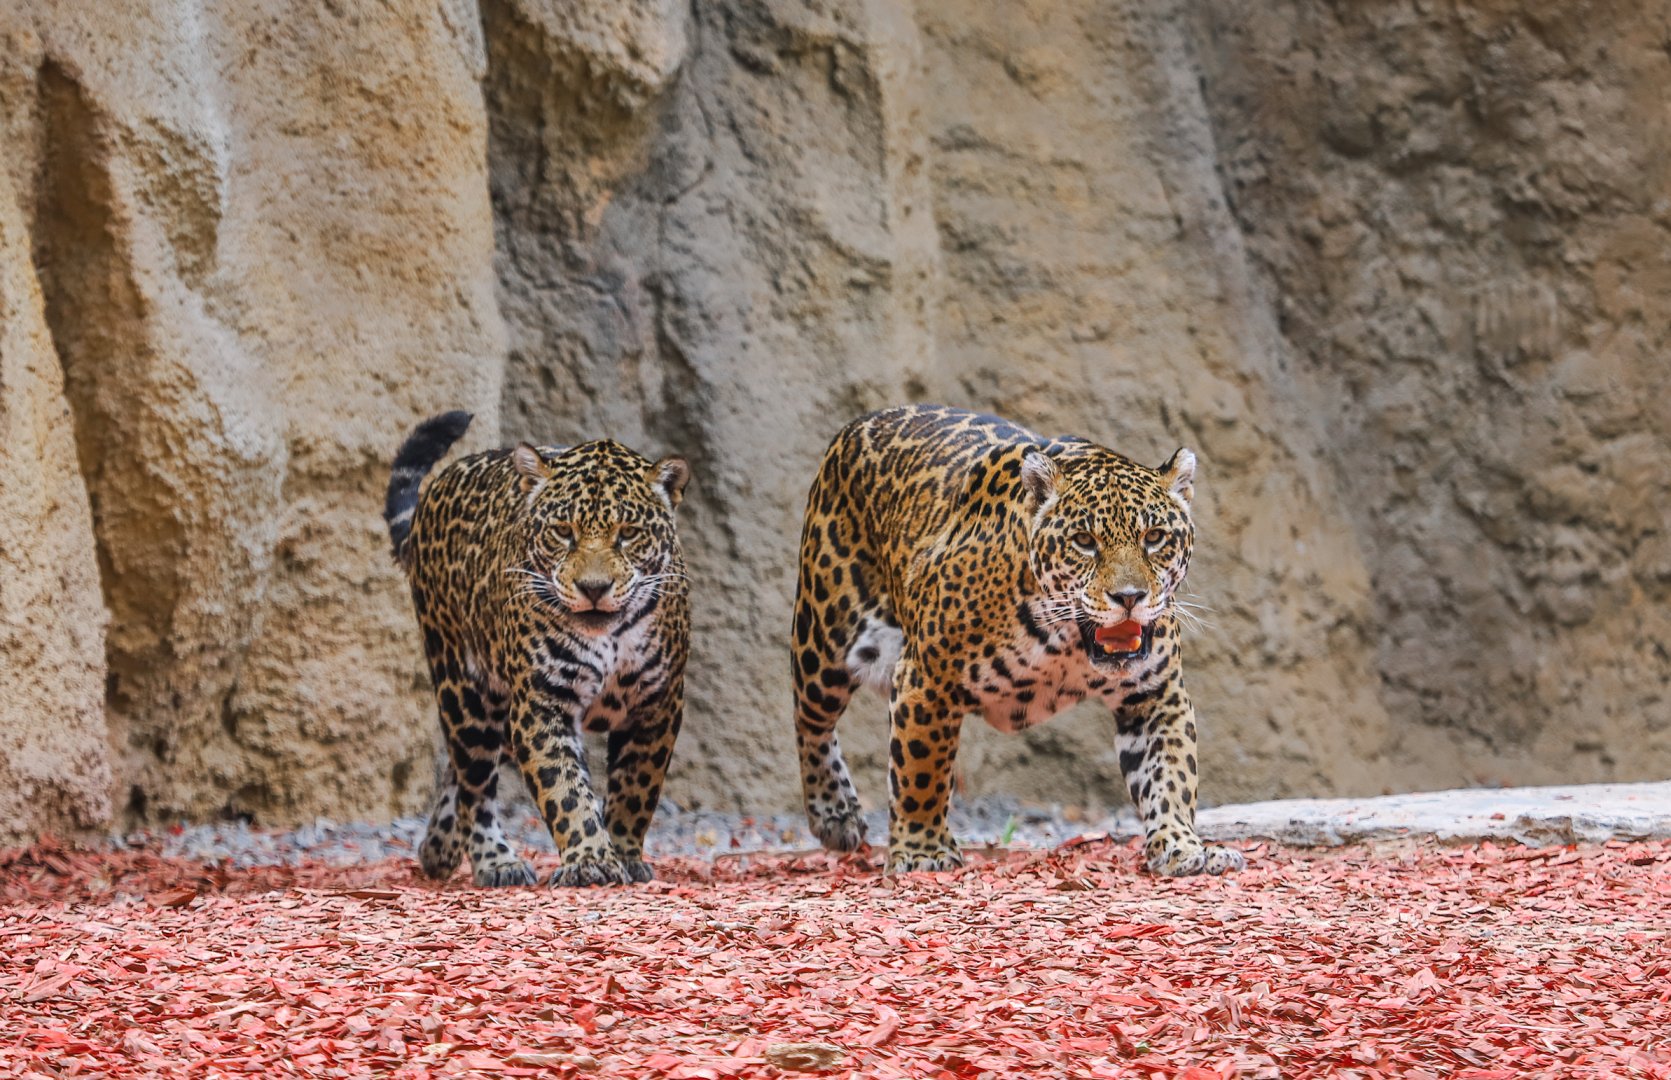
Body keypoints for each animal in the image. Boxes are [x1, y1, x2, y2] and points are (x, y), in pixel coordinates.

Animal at [384, 411, 692, 887]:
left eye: (628, 534)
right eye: (563, 532)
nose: (594, 588)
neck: (610, 636)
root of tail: (440, 485)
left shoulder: (658, 703)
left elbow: (637, 788)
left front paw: (624, 853)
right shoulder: (540, 701)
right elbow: (564, 789)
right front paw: (590, 860)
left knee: (461, 770)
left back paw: (438, 848)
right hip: (462, 687)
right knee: (474, 782)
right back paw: (495, 860)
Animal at [791, 404, 1245, 877]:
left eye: (1154, 537)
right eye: (1084, 542)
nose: (1129, 597)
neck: (1066, 642)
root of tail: (864, 420)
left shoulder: (1156, 694)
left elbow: (1171, 774)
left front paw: (1183, 848)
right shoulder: (925, 680)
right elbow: (921, 771)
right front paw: (921, 850)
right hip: (826, 638)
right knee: (810, 722)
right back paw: (835, 815)